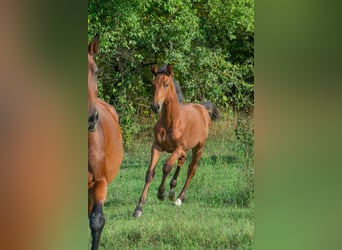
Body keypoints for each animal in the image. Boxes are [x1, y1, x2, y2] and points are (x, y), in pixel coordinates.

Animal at [132, 64, 218, 217]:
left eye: (166, 84)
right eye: (153, 84)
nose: (155, 106)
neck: (171, 121)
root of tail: (202, 108)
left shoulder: (178, 148)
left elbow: (166, 167)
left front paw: (161, 193)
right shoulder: (157, 146)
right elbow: (149, 173)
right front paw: (139, 208)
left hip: (198, 148)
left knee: (191, 169)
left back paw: (178, 198)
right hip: (184, 150)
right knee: (182, 162)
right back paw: (172, 191)